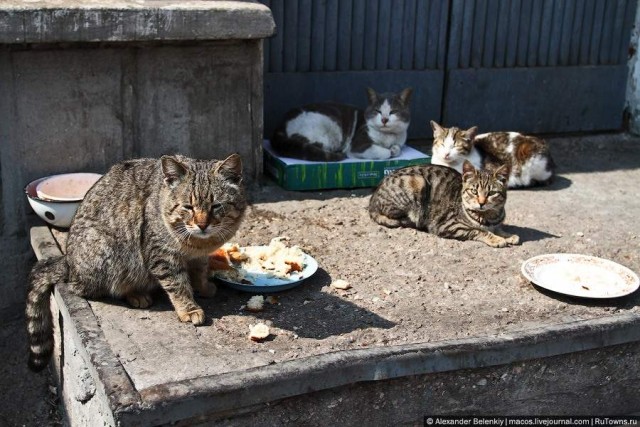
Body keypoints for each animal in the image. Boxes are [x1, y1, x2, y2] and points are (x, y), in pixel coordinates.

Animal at [25, 153, 245, 372]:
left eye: (216, 206)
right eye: (188, 207)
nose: (202, 225)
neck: (199, 244)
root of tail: (68, 262)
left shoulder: (199, 257)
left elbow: (200, 271)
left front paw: (204, 287)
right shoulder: (161, 253)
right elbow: (177, 284)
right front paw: (189, 308)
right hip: (109, 253)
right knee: (87, 287)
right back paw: (135, 294)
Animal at [272, 87, 412, 162]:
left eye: (393, 112)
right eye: (378, 111)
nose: (384, 119)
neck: (388, 137)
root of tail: (281, 123)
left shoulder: (399, 142)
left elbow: (398, 148)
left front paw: (394, 149)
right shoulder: (358, 145)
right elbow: (384, 152)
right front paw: (388, 151)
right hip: (329, 133)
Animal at [370, 160, 520, 247]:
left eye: (491, 193)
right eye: (474, 191)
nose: (481, 203)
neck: (489, 217)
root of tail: (372, 198)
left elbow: (499, 229)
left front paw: (508, 235)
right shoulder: (449, 225)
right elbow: (479, 230)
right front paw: (497, 239)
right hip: (417, 182)